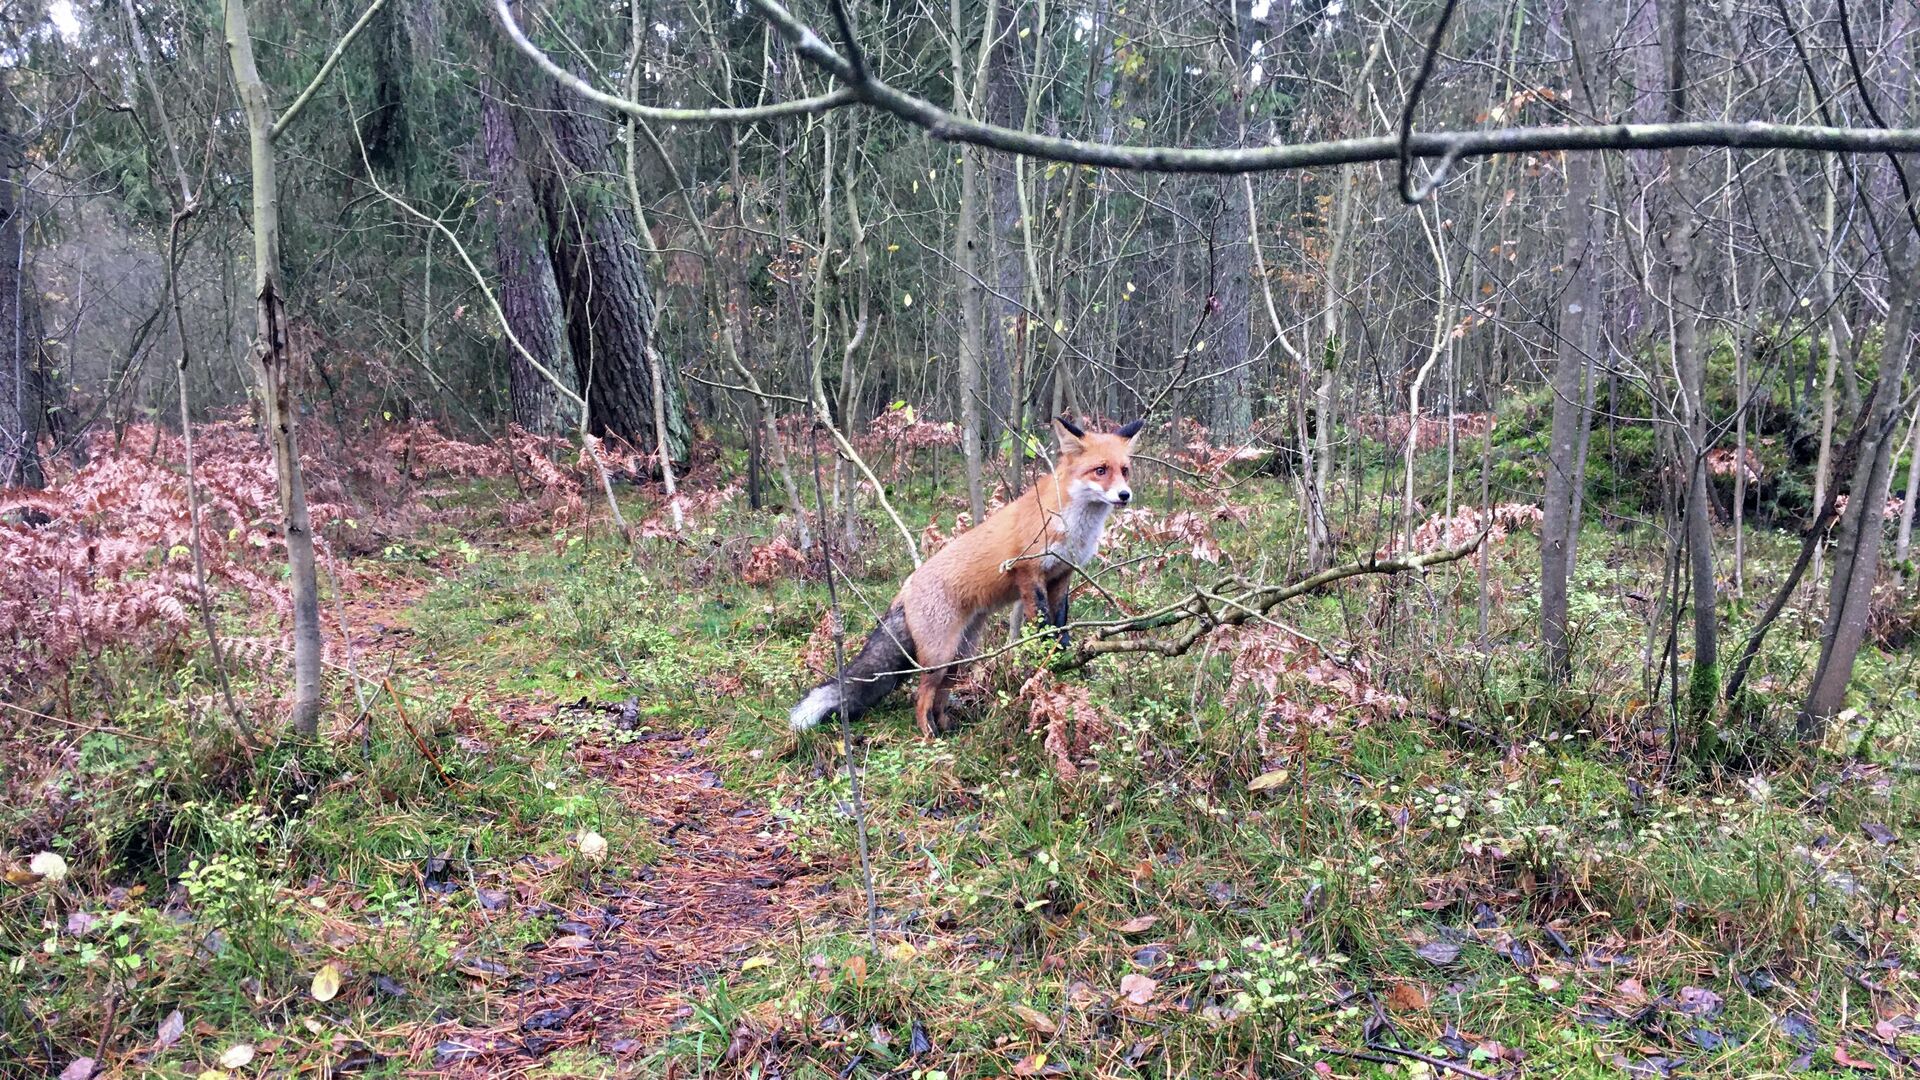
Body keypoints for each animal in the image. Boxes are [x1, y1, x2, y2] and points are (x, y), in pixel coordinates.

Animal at [791, 411, 1136, 730]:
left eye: (1125, 471)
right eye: (1100, 470)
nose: (1125, 495)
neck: (1073, 525)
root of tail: (905, 587)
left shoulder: (1063, 574)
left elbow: (1061, 621)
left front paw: (1063, 651)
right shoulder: (1028, 571)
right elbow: (1041, 621)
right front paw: (1045, 652)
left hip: (962, 656)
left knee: (939, 697)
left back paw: (948, 728)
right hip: (939, 657)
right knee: (921, 697)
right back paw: (929, 737)